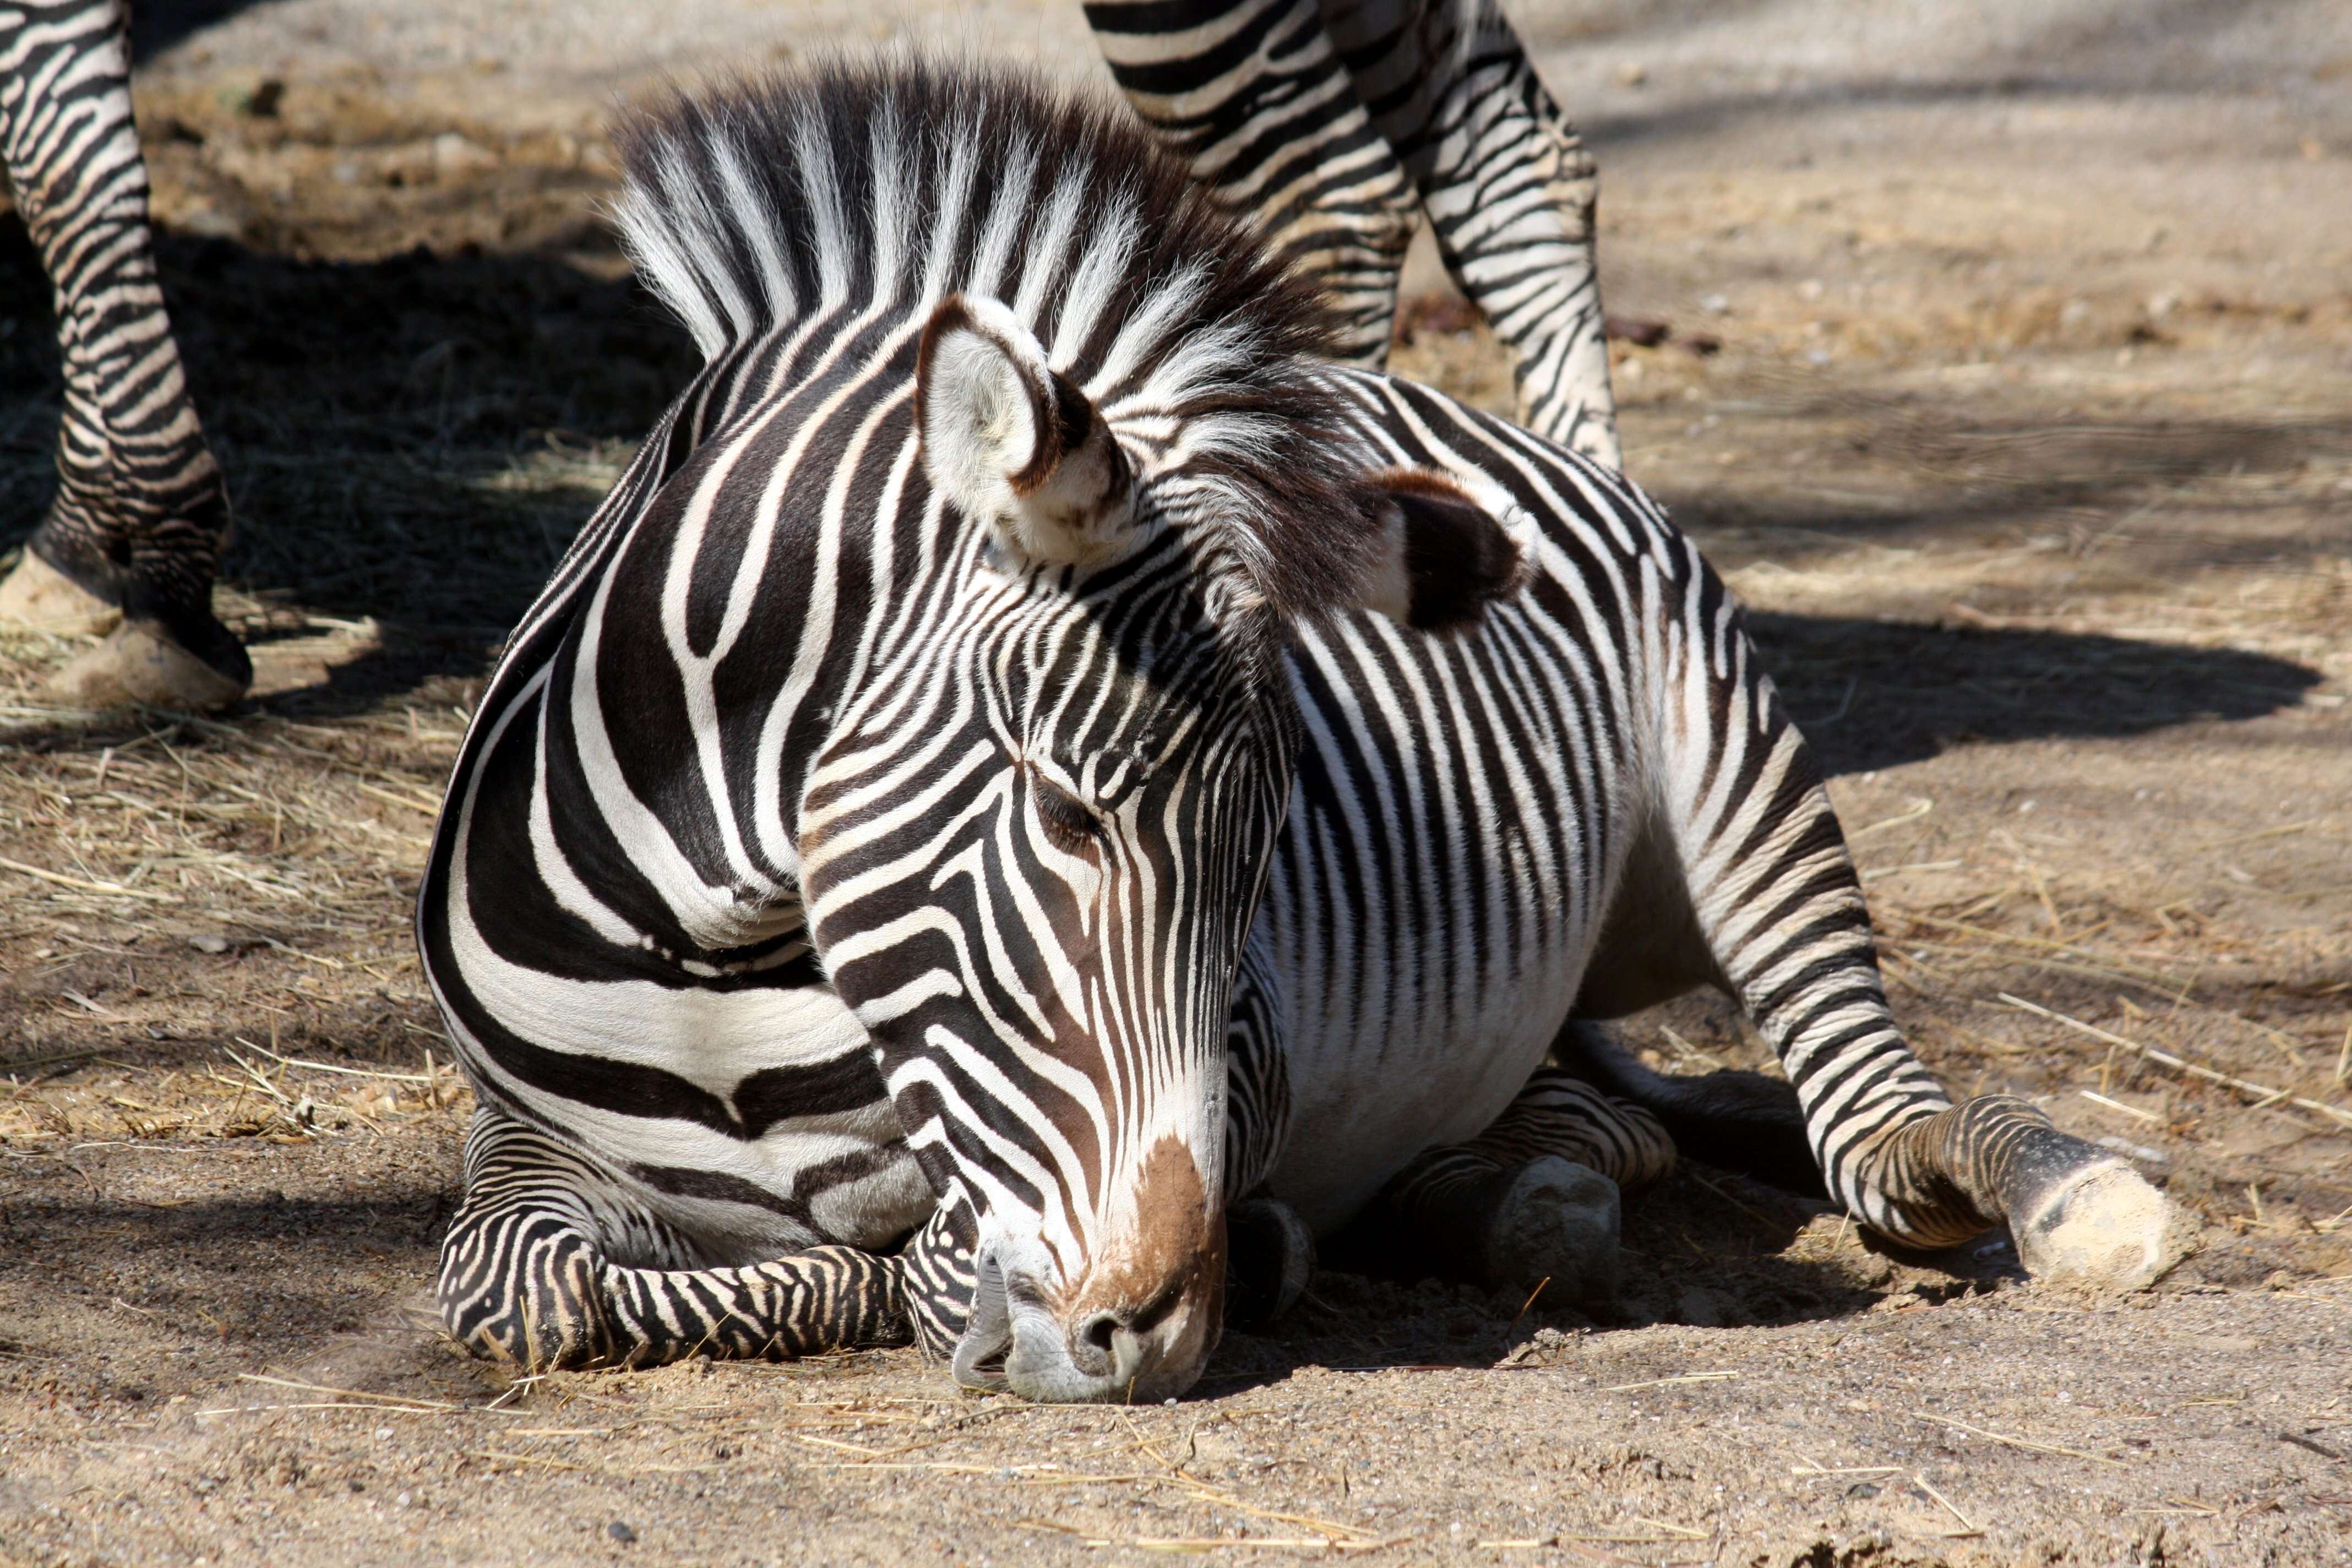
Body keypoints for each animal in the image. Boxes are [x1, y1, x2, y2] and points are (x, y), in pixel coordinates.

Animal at [409, 64, 2182, 1410]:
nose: (1145, 1326)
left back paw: (2064, 1189)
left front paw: (1153, 1265)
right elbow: (519, 1285)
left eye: (1264, 857)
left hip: (1738, 773)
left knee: (1864, 1116)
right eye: (1065, 817)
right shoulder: (516, 1130)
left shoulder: (1243, 1049)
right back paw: (1521, 1191)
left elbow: (920, 1259)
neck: (720, 957)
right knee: (1616, 1116)